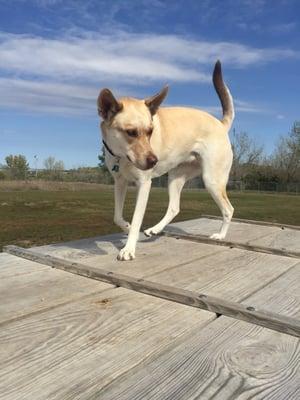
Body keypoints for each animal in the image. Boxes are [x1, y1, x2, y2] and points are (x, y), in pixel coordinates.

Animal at [98, 59, 234, 260]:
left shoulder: (144, 184)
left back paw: (221, 235)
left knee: (228, 209)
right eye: (131, 132)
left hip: (212, 180)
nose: (153, 161)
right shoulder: (120, 182)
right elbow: (117, 216)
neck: (121, 157)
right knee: (174, 207)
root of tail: (221, 125)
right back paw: (154, 229)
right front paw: (126, 227)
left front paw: (129, 248)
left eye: (150, 131)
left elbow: (137, 219)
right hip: (175, 178)